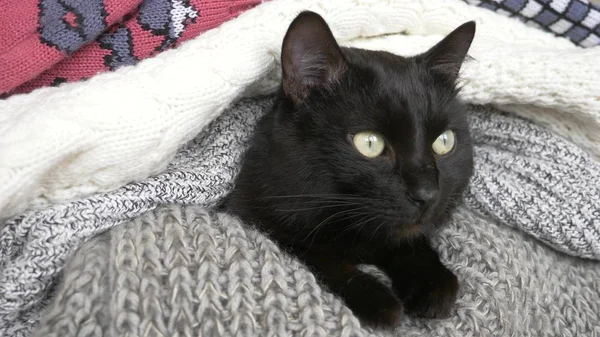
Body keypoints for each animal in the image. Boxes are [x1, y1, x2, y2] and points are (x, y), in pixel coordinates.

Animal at [223, 11, 476, 326]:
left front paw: (432, 282)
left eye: (444, 142)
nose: (427, 194)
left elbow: (408, 241)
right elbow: (314, 255)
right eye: (369, 143)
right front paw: (378, 299)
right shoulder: (251, 213)